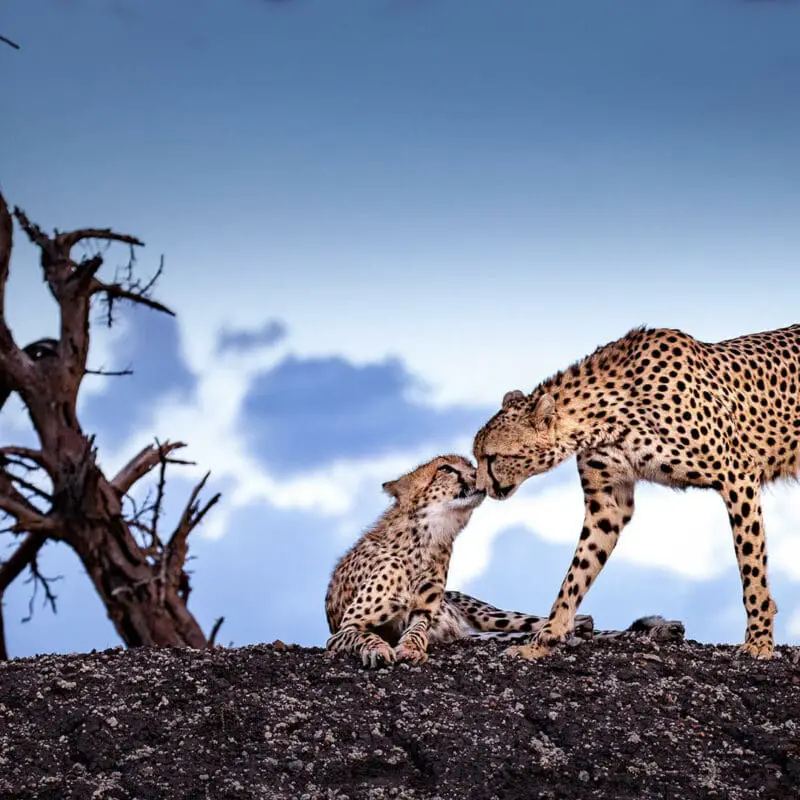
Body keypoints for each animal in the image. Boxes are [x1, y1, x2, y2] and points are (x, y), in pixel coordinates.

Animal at [472, 323, 800, 661]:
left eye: (492, 457)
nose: (480, 487)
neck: (607, 415)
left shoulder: (737, 476)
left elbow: (752, 566)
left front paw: (759, 641)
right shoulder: (608, 503)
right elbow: (577, 573)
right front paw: (545, 639)